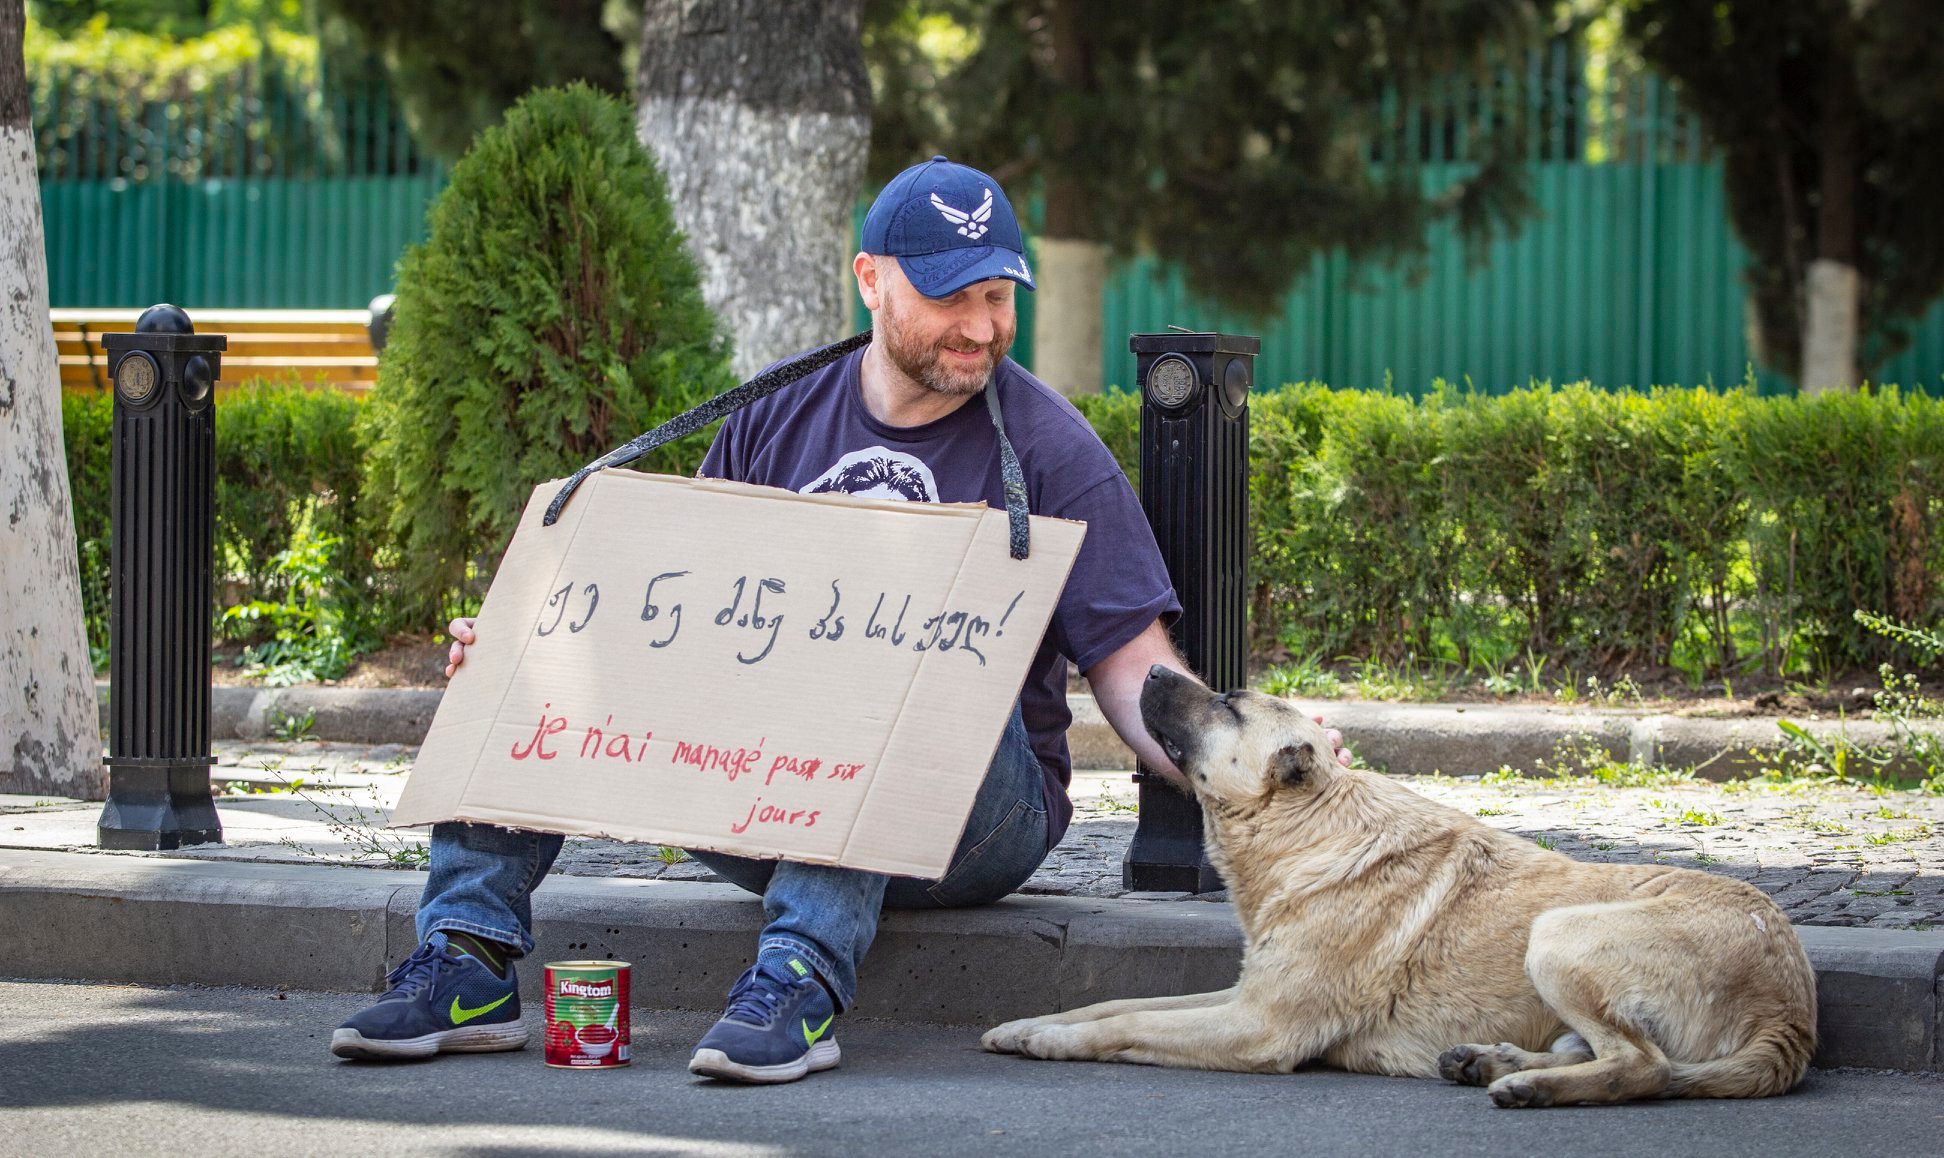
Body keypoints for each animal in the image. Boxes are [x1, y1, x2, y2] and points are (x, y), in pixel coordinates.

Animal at [987, 672, 1819, 1111]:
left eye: (1228, 702)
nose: (1155, 672)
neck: (1309, 825)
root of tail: (1792, 1013)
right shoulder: (1243, 996)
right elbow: (1114, 1005)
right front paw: (1033, 1024)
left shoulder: (1258, 1026)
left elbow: (1123, 1026)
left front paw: (1052, 1043)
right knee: (1613, 1052)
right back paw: (1497, 1063)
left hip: (1558, 934)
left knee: (1645, 1067)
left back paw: (1530, 1087)